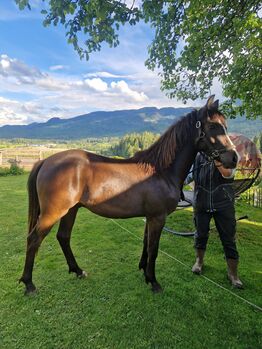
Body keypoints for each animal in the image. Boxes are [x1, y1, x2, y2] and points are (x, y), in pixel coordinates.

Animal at [19, 96, 238, 294]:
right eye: (213, 126)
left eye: (225, 126)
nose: (234, 158)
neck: (161, 171)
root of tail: (45, 161)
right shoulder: (158, 217)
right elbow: (154, 249)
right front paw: (154, 282)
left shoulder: (150, 217)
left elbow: (146, 244)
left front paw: (144, 272)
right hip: (53, 213)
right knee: (33, 239)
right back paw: (29, 284)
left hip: (70, 210)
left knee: (63, 237)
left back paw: (78, 271)